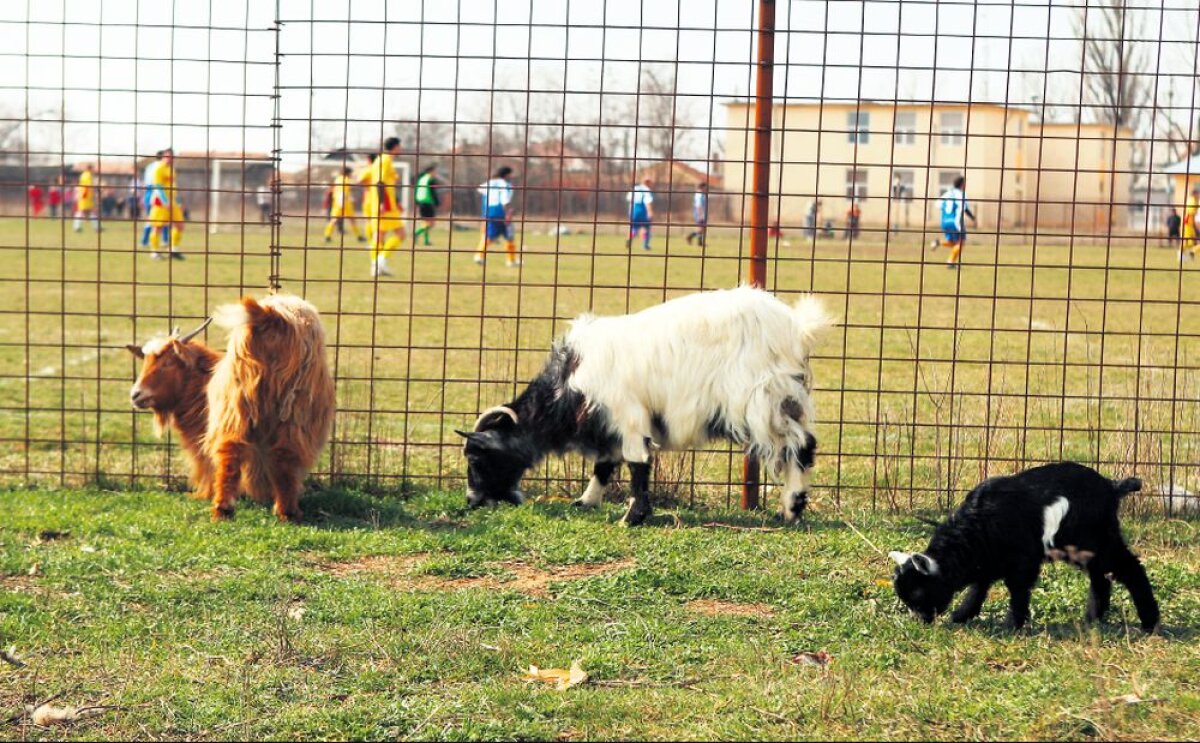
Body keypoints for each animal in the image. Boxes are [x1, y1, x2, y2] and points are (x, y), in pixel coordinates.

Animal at [206, 294, 336, 520]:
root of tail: (269, 316)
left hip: (235, 407)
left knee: (230, 453)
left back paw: (223, 509)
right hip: (293, 410)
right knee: (285, 455)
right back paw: (289, 512)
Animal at [453, 284, 830, 523]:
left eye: (476, 457)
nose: (471, 501)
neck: (569, 384)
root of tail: (797, 328)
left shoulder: (629, 417)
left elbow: (637, 464)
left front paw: (633, 516)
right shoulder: (607, 424)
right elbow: (604, 466)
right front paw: (585, 502)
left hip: (765, 402)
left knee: (801, 445)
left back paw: (792, 507)